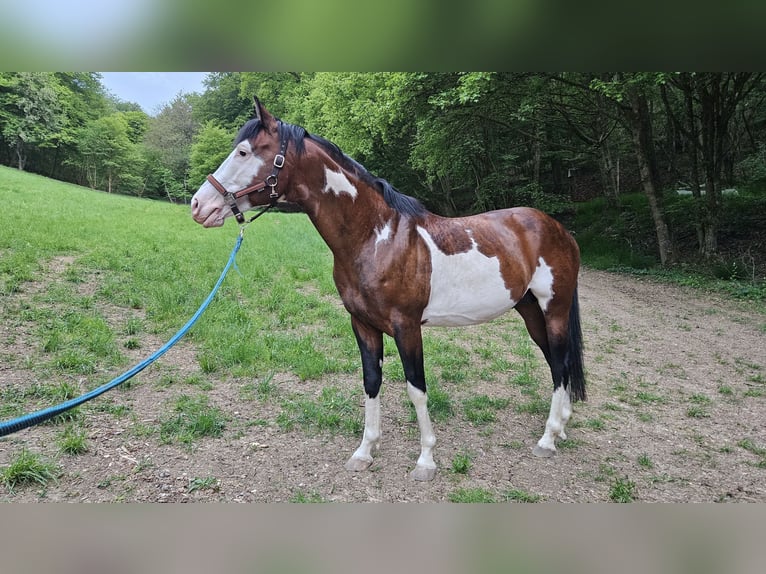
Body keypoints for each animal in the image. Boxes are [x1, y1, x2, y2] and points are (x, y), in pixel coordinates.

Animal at [191, 97, 585, 481]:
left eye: (244, 152)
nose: (199, 205)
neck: (378, 238)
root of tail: (558, 229)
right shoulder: (363, 325)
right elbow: (371, 381)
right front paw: (365, 452)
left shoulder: (406, 327)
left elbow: (416, 388)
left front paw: (426, 460)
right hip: (530, 310)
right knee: (558, 362)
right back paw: (561, 429)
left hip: (554, 309)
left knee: (560, 362)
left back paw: (548, 439)